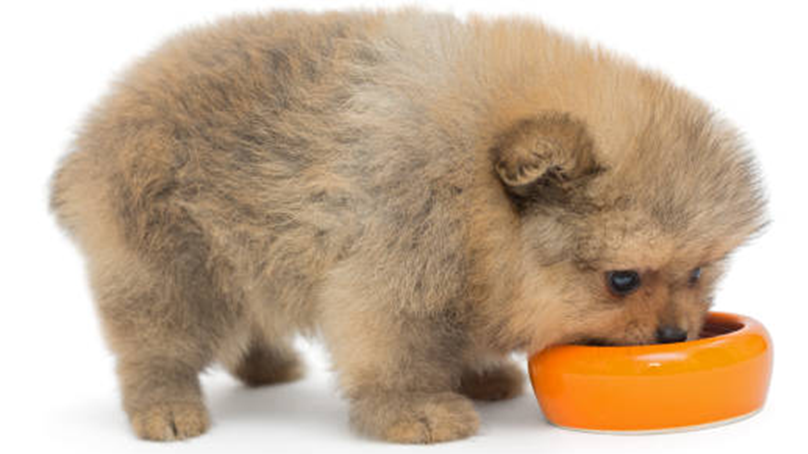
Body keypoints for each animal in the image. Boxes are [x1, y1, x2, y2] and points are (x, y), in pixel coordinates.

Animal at [47, 7, 768, 444]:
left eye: (697, 271)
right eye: (622, 280)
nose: (675, 333)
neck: (473, 196)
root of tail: (91, 136)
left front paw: (480, 372)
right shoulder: (400, 257)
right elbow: (392, 347)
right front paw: (417, 410)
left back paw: (267, 365)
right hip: (168, 259)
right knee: (156, 346)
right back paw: (165, 406)